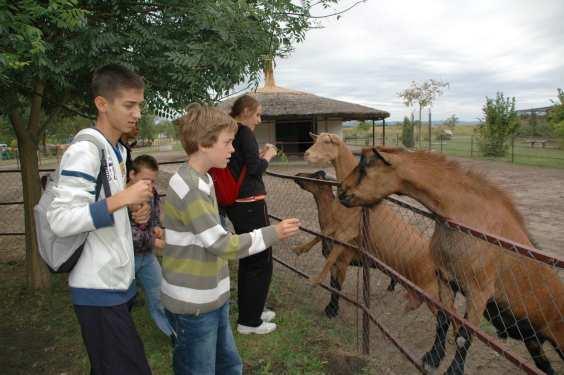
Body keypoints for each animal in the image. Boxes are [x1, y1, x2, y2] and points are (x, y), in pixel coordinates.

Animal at [302, 134, 438, 312]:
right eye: (316, 140)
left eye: (327, 142)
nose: (306, 154)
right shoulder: (336, 226)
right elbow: (320, 235)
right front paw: (300, 249)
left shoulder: (347, 231)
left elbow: (333, 261)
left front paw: (318, 285)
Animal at [340, 148, 564, 375]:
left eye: (365, 167)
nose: (341, 191)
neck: (463, 214)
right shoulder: (446, 278)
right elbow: (443, 318)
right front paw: (433, 358)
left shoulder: (479, 291)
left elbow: (465, 335)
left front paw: (454, 369)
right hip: (534, 340)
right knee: (543, 364)